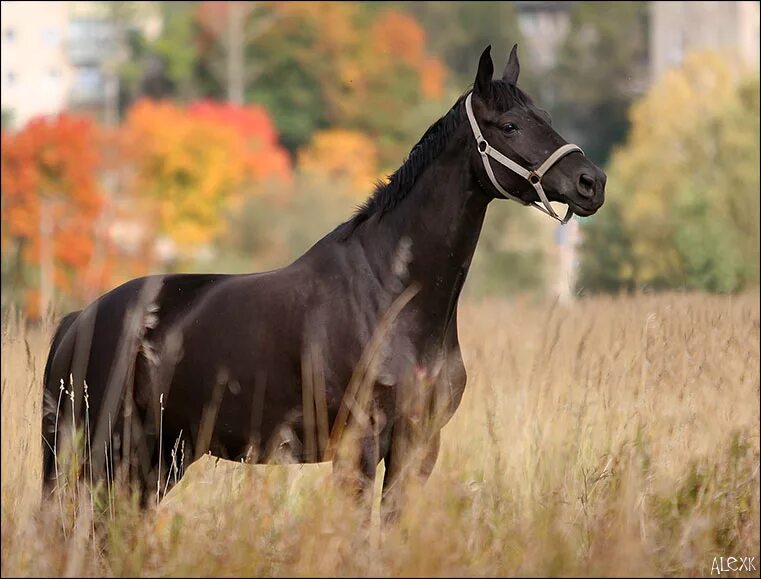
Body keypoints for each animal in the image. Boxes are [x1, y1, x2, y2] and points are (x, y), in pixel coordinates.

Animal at [43, 46, 604, 516]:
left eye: (546, 119)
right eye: (509, 125)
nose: (590, 182)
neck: (392, 297)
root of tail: (78, 320)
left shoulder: (416, 447)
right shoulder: (359, 447)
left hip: (160, 456)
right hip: (95, 453)